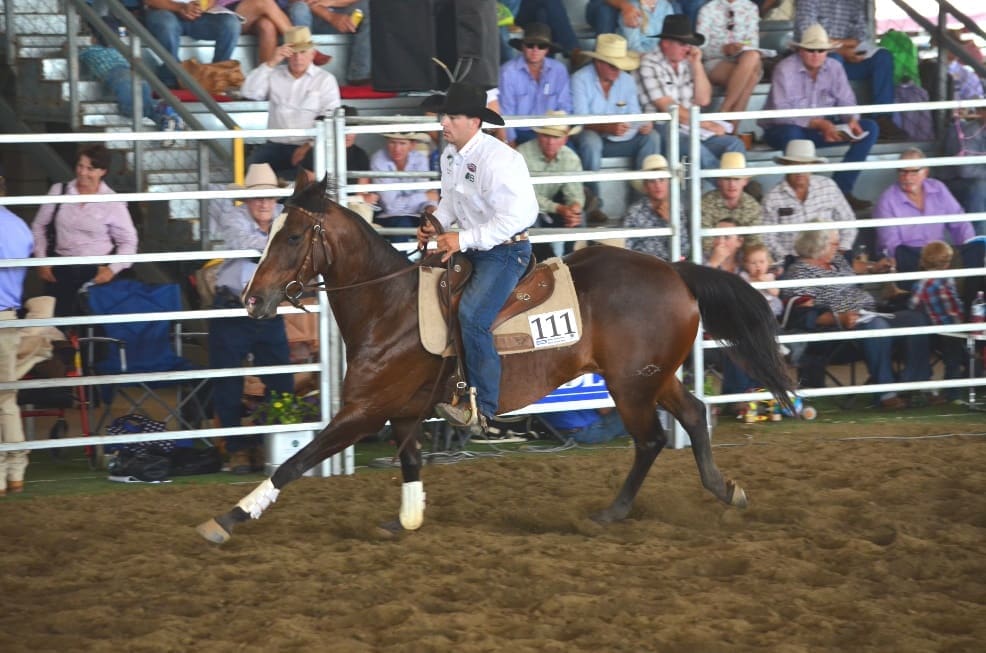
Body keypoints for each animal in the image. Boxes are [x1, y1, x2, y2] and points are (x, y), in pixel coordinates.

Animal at [196, 177, 794, 544]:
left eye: (295, 235)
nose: (252, 299)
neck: (390, 307)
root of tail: (674, 271)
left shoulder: (363, 410)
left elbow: (295, 462)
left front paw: (226, 518)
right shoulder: (403, 412)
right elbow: (410, 461)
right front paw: (406, 519)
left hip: (630, 386)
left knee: (650, 440)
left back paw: (611, 513)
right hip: (651, 377)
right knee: (692, 414)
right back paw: (725, 490)